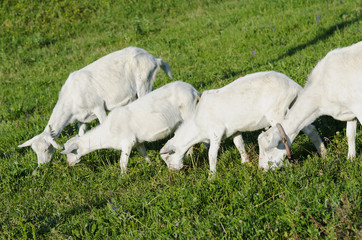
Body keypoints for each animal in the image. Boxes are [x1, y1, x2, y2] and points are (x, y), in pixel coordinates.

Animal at [16, 46, 172, 165]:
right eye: (35, 151)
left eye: (46, 148)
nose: (42, 165)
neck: (71, 98)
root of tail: (154, 59)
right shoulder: (82, 118)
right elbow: (81, 134)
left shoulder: (98, 107)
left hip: (144, 82)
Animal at [60, 81, 199, 173]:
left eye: (71, 152)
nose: (69, 164)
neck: (107, 133)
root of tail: (193, 90)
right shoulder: (138, 141)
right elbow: (143, 153)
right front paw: (151, 164)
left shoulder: (127, 142)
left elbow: (122, 163)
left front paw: (123, 177)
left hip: (189, 112)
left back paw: (190, 155)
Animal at [160, 70, 326, 173]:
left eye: (167, 157)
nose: (173, 171)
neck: (196, 125)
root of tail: (293, 85)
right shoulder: (233, 130)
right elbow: (239, 144)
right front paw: (245, 162)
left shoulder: (215, 132)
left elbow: (212, 154)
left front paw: (211, 176)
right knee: (310, 128)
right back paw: (323, 153)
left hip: (278, 112)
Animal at [258, 40, 362, 169]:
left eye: (267, 149)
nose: (261, 169)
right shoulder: (349, 112)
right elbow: (350, 135)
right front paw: (351, 159)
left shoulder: (358, 107)